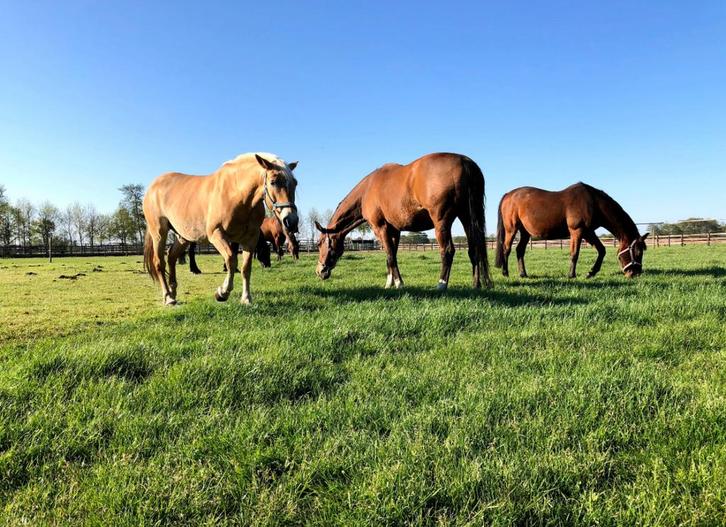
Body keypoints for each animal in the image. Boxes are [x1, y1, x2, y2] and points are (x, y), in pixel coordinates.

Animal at [143, 153, 298, 305]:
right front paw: (222, 293)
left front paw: (246, 299)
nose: (291, 221)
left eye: (295, 183)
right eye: (273, 182)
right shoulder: (216, 234)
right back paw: (168, 296)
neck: (236, 194)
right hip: (159, 233)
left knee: (171, 257)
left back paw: (173, 292)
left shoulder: (250, 239)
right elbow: (231, 260)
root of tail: (153, 187)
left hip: (183, 237)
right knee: (159, 263)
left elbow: (246, 268)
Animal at [315, 152, 492, 290]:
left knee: (447, 250)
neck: (367, 190)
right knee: (474, 250)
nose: (319, 271)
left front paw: (399, 283)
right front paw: (389, 283)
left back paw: (441, 285)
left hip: (442, 222)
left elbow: (390, 256)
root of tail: (465, 162)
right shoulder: (395, 231)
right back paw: (476, 285)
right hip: (467, 218)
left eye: (319, 243)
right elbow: (391, 255)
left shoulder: (380, 228)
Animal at [494, 182, 648, 279]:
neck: (593, 202)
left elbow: (602, 250)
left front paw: (591, 272)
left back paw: (523, 274)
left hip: (525, 232)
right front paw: (571, 275)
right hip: (511, 229)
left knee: (519, 250)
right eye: (637, 253)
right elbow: (575, 253)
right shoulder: (577, 231)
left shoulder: (588, 232)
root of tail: (508, 195)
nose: (634, 273)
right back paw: (505, 272)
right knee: (506, 249)